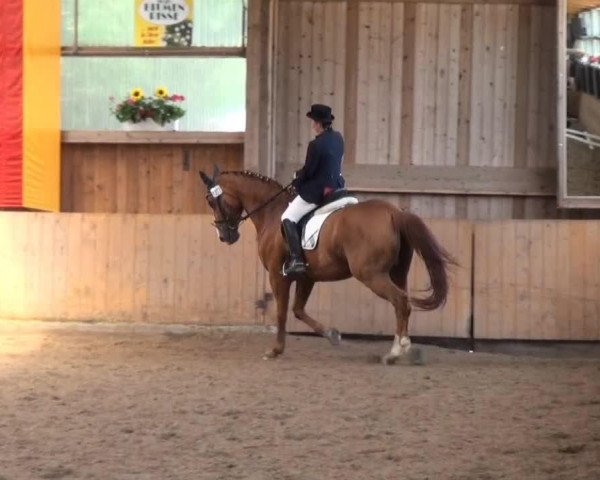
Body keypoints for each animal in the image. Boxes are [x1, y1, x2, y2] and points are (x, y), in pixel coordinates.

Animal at [199, 169, 458, 364]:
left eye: (211, 201)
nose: (225, 236)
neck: (272, 213)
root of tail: (394, 213)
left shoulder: (277, 276)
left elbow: (282, 312)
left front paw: (275, 350)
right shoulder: (307, 277)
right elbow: (298, 310)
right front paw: (332, 335)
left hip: (371, 275)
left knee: (401, 301)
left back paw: (397, 351)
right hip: (396, 272)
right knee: (401, 304)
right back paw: (401, 348)